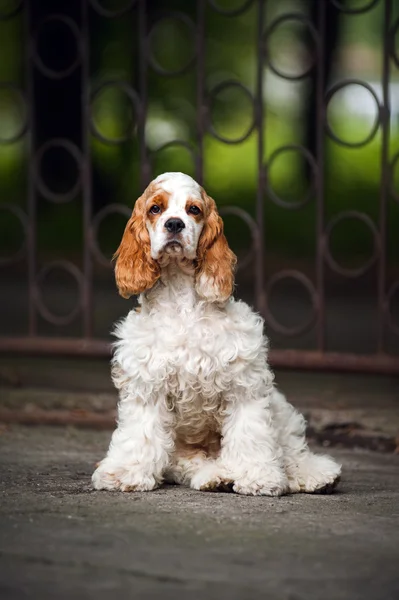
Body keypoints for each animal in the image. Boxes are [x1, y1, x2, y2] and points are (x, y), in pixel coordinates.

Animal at [92, 171, 342, 494]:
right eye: (155, 209)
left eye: (193, 209)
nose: (175, 224)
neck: (182, 300)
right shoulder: (147, 386)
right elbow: (140, 434)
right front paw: (124, 474)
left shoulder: (244, 385)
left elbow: (251, 436)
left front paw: (258, 477)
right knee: (190, 464)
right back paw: (217, 476)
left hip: (278, 406)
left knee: (291, 449)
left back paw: (315, 475)